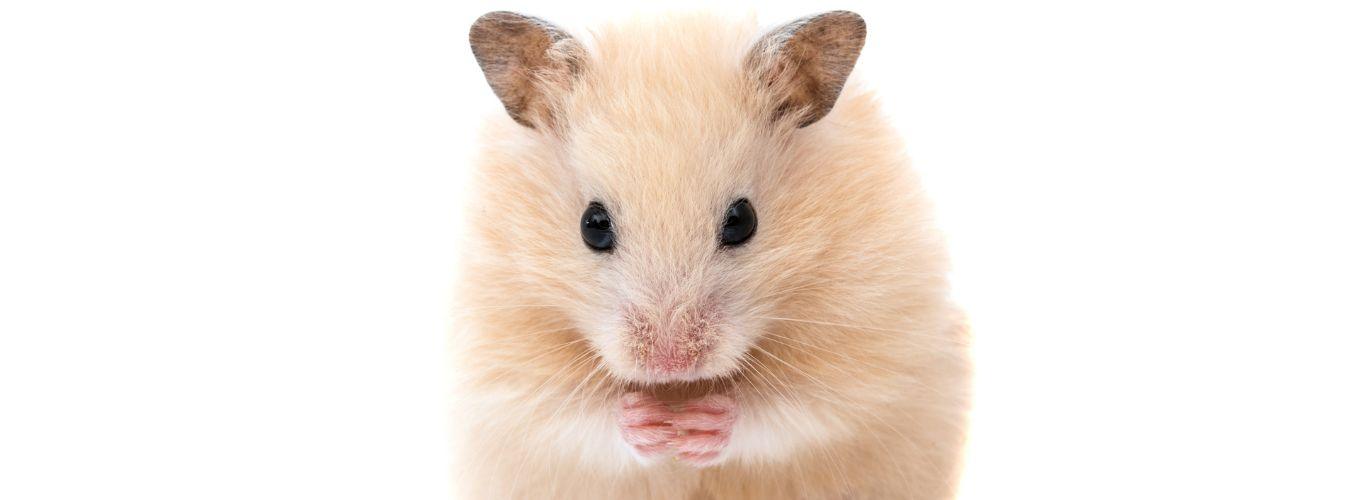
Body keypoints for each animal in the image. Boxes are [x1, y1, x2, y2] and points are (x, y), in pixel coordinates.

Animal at [453, 10, 971, 499]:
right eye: (592, 225)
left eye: (742, 220)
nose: (670, 365)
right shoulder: (503, 365)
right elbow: (572, 417)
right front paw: (652, 424)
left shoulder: (869, 351)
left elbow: (792, 412)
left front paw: (697, 426)